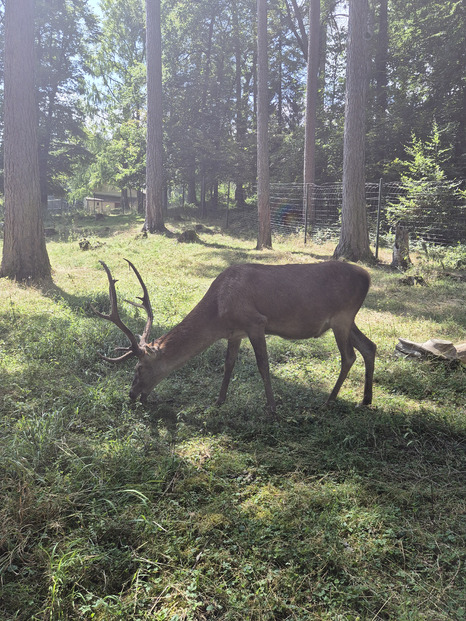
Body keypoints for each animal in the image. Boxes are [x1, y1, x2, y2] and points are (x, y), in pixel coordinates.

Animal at [93, 256, 374, 412]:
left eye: (138, 368)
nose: (131, 395)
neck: (218, 313)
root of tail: (368, 277)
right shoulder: (234, 333)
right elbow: (228, 365)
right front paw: (219, 400)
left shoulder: (255, 322)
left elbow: (263, 365)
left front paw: (272, 407)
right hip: (347, 320)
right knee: (369, 347)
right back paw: (366, 399)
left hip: (342, 317)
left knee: (349, 356)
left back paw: (329, 400)